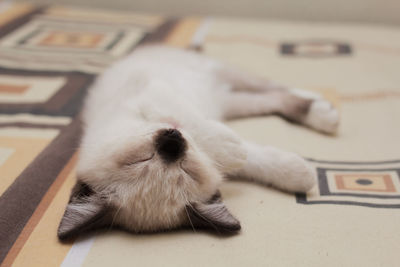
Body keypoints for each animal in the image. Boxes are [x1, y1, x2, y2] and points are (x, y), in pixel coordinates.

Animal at [57, 44, 338, 241]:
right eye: (186, 169)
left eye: (138, 159)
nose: (172, 143)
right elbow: (250, 160)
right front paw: (299, 174)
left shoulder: (156, 96)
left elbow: (195, 122)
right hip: (232, 103)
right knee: (274, 99)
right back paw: (319, 113)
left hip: (220, 74)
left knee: (270, 84)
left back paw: (321, 107)